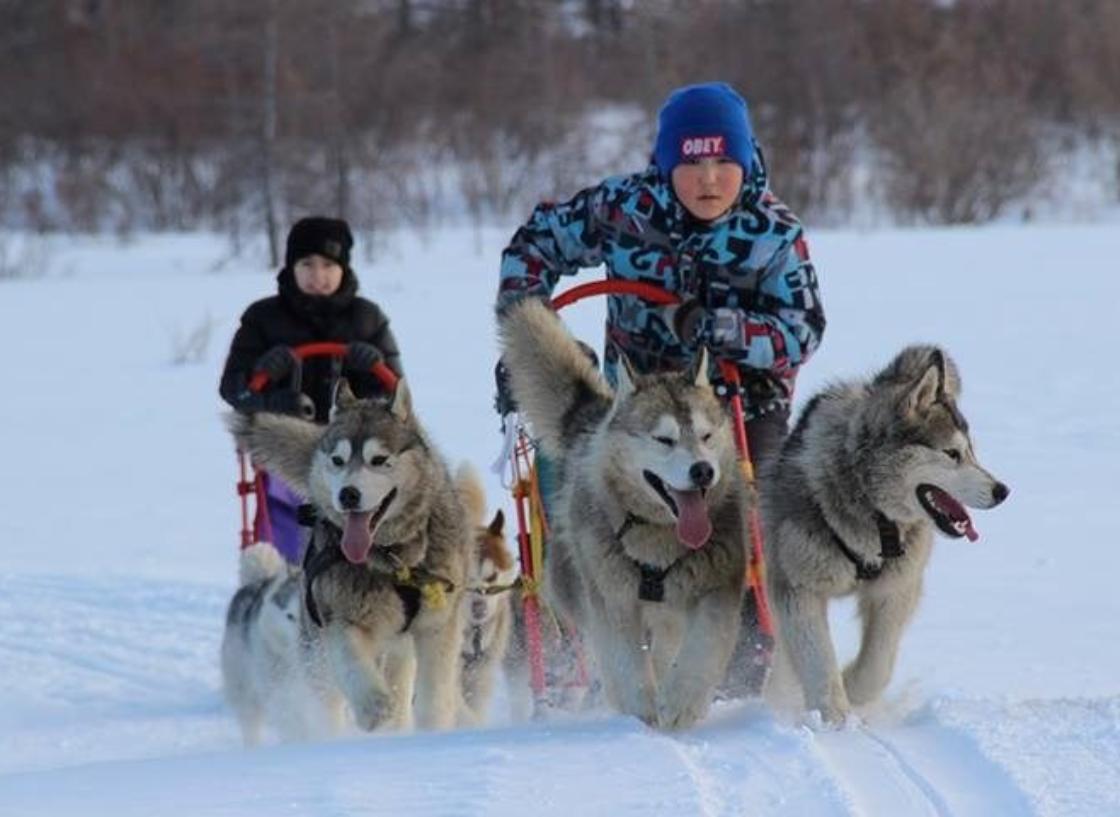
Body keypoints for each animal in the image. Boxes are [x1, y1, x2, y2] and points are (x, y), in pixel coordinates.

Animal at [227, 383, 472, 735]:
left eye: (379, 459)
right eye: (338, 460)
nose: (348, 494)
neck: (393, 560)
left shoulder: (438, 625)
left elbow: (434, 694)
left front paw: (433, 726)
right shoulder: (340, 619)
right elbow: (354, 666)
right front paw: (373, 707)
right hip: (316, 652)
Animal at [497, 298, 743, 726]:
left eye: (707, 435)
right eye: (664, 439)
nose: (703, 471)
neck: (659, 537)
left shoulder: (717, 588)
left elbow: (700, 650)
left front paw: (679, 703)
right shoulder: (613, 601)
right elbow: (627, 664)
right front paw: (641, 715)